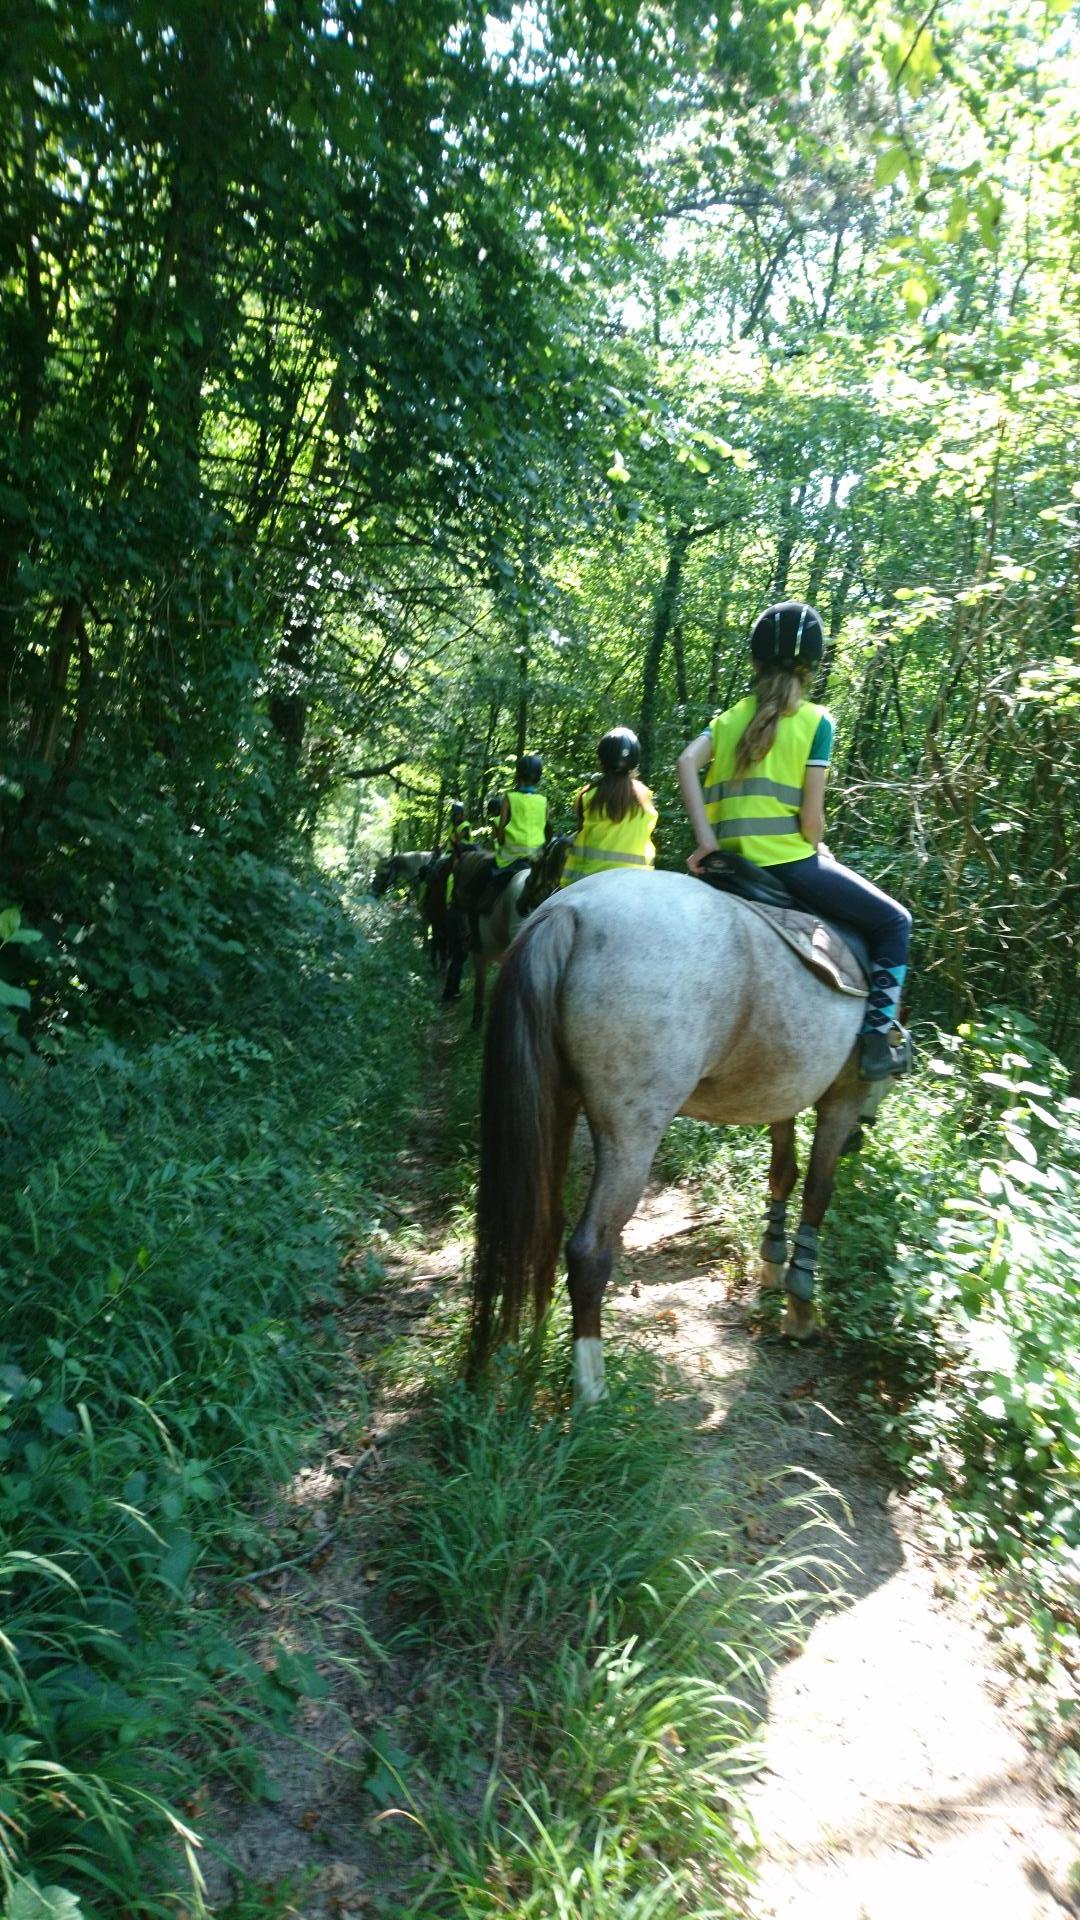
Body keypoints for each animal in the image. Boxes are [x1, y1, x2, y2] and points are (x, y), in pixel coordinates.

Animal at [466, 879, 887, 1405]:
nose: (860, 1137)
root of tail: (571, 911)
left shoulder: (781, 1096)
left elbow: (781, 1176)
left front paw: (771, 1270)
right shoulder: (842, 1100)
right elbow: (817, 1193)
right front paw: (800, 1309)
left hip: (558, 1106)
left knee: (543, 1225)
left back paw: (534, 1349)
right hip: (632, 1133)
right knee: (587, 1249)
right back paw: (592, 1389)